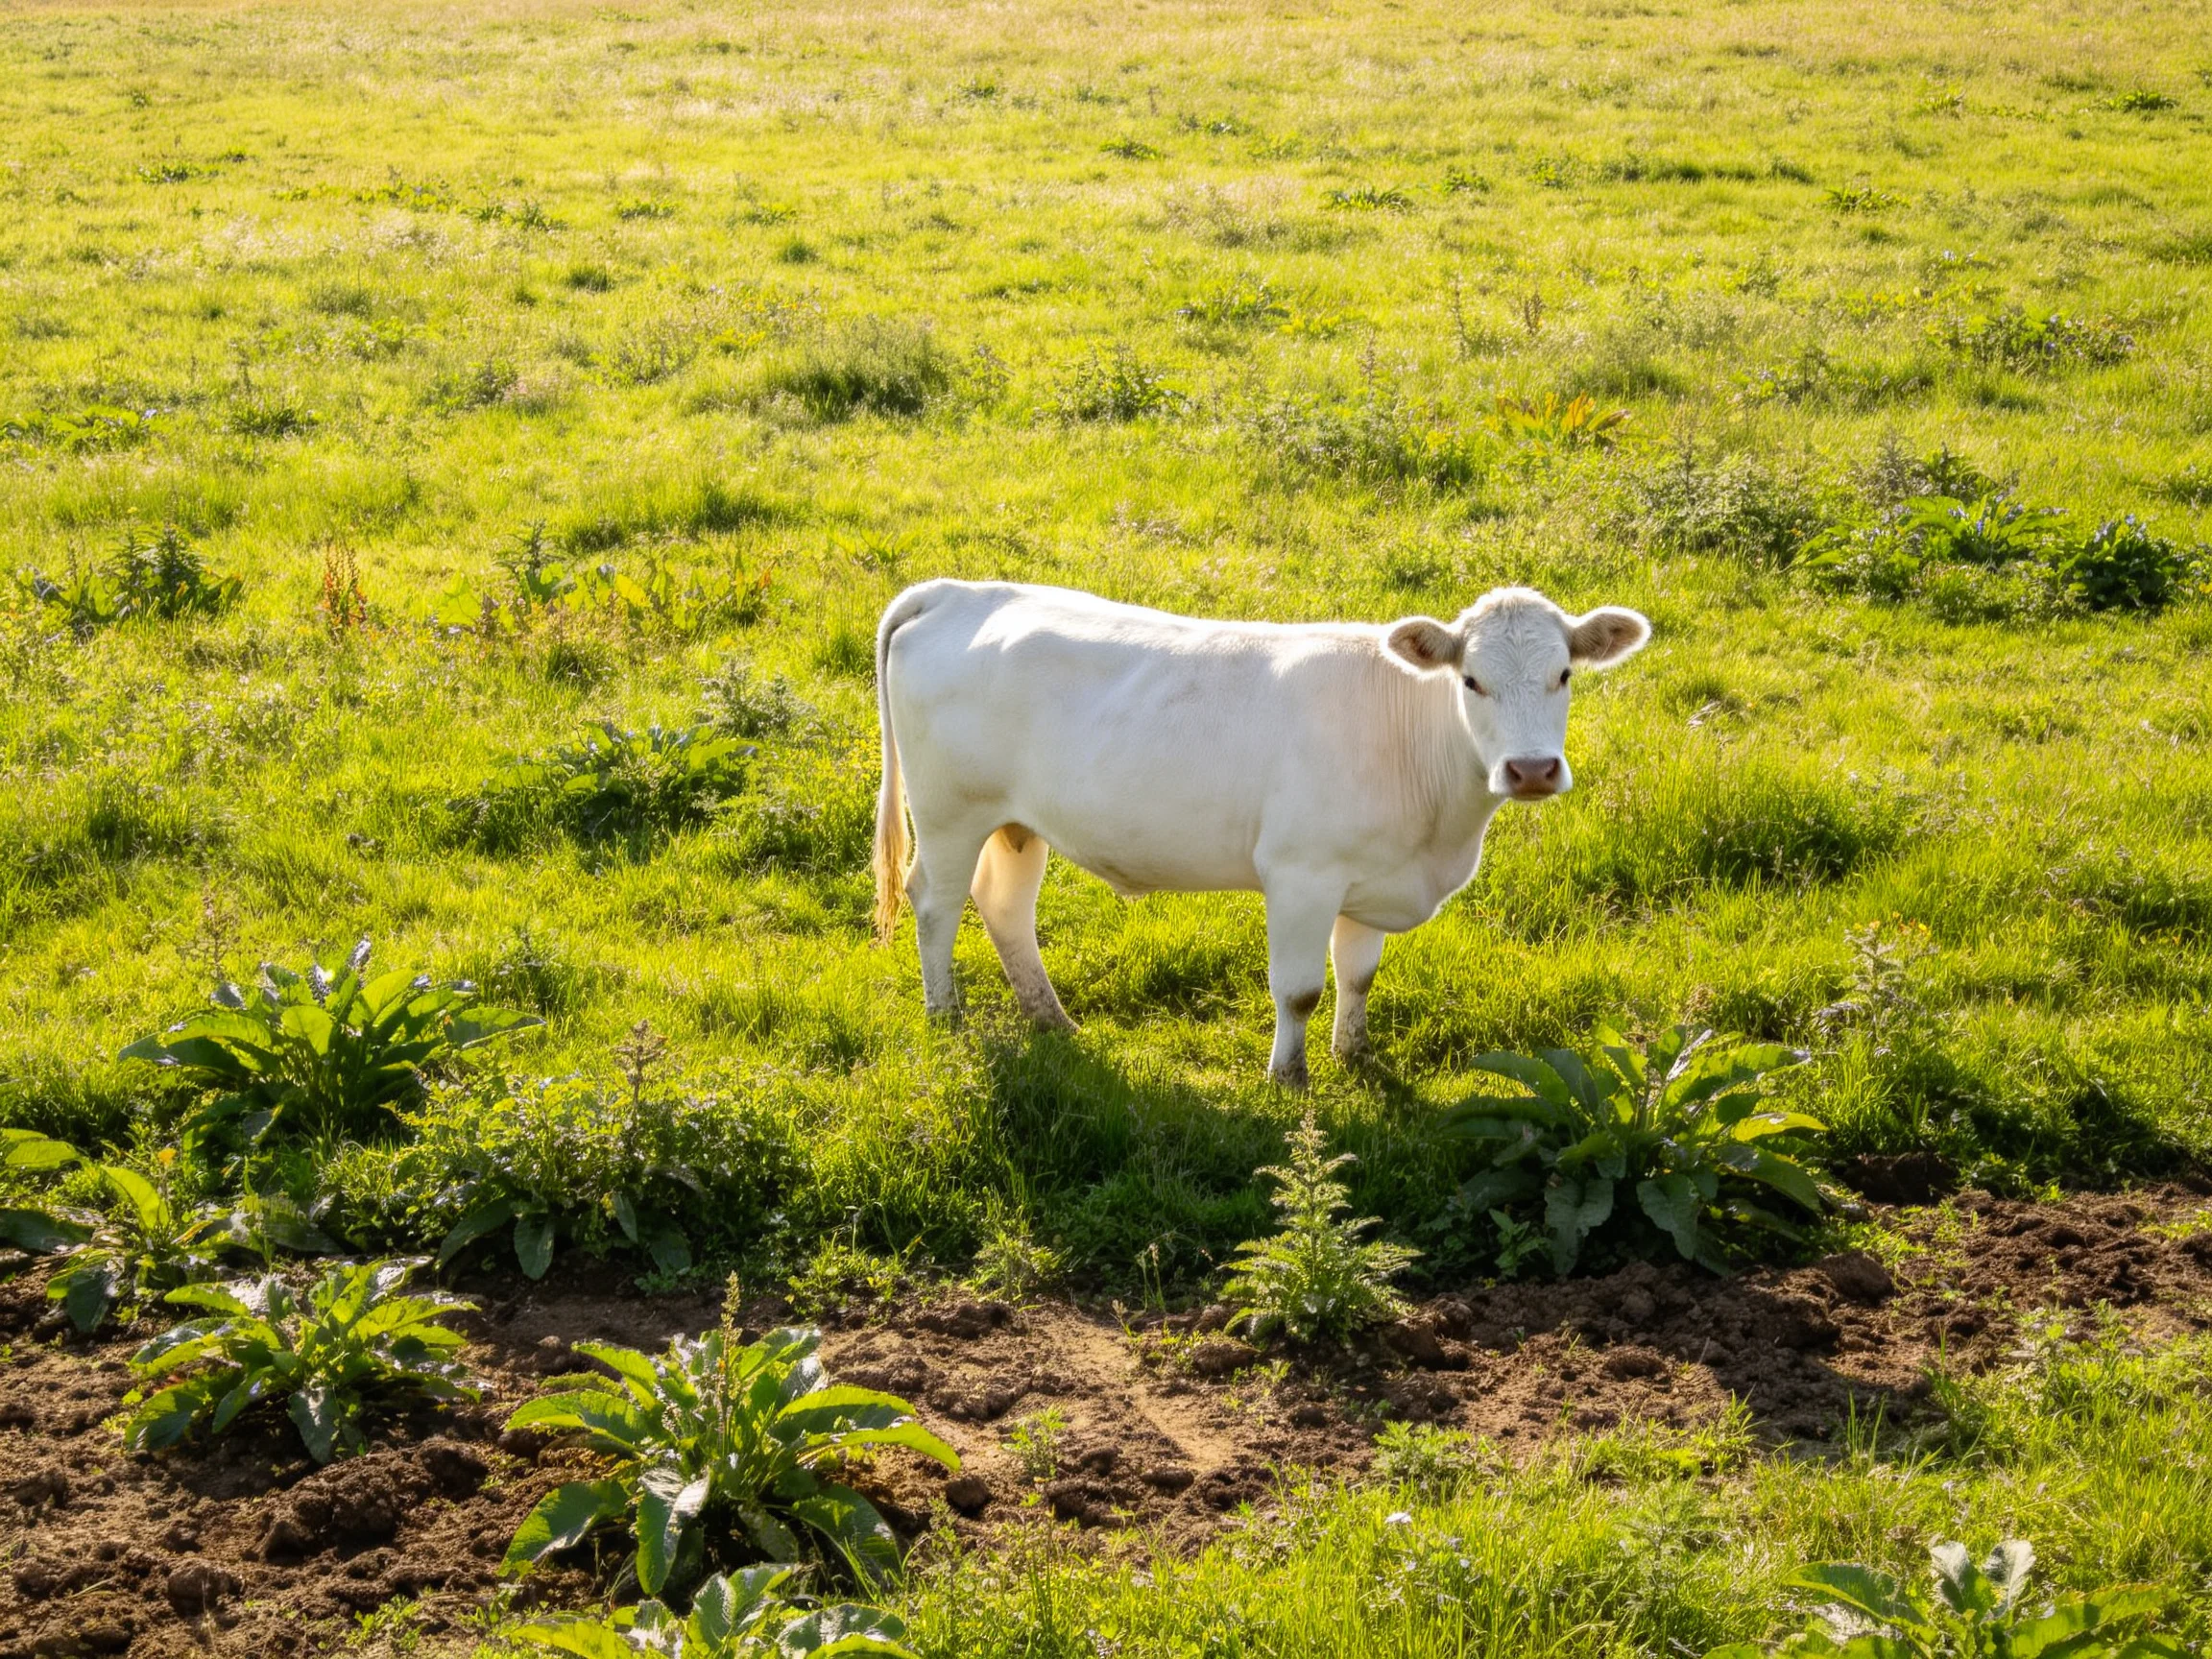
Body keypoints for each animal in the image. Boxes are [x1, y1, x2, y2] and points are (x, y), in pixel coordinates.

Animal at [871, 580, 1651, 1084]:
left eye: (1564, 674)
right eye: (1471, 681)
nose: (1531, 769)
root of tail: (957, 591)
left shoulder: (1370, 877)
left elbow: (1358, 976)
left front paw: (1354, 1057)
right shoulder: (1301, 873)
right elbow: (1299, 989)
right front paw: (1289, 1078)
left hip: (1016, 823)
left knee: (1004, 907)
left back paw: (1052, 1022)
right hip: (949, 812)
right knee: (935, 903)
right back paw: (946, 1019)